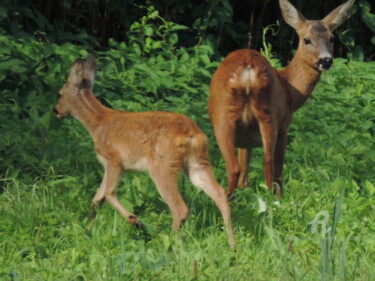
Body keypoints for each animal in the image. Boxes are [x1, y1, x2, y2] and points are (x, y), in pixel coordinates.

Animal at [53, 54, 235, 247]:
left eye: (59, 94)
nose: (56, 110)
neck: (97, 124)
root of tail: (193, 134)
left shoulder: (114, 159)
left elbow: (108, 193)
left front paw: (135, 221)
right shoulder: (109, 165)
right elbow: (97, 199)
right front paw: (87, 231)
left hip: (162, 165)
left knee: (180, 208)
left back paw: (170, 245)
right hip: (198, 162)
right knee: (220, 194)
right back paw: (232, 245)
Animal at [209, 0, 356, 197]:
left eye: (331, 38)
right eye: (306, 39)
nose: (326, 60)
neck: (290, 89)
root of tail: (248, 71)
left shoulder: (245, 139)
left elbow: (245, 168)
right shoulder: (285, 124)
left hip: (228, 116)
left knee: (239, 167)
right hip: (267, 115)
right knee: (268, 163)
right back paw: (275, 200)